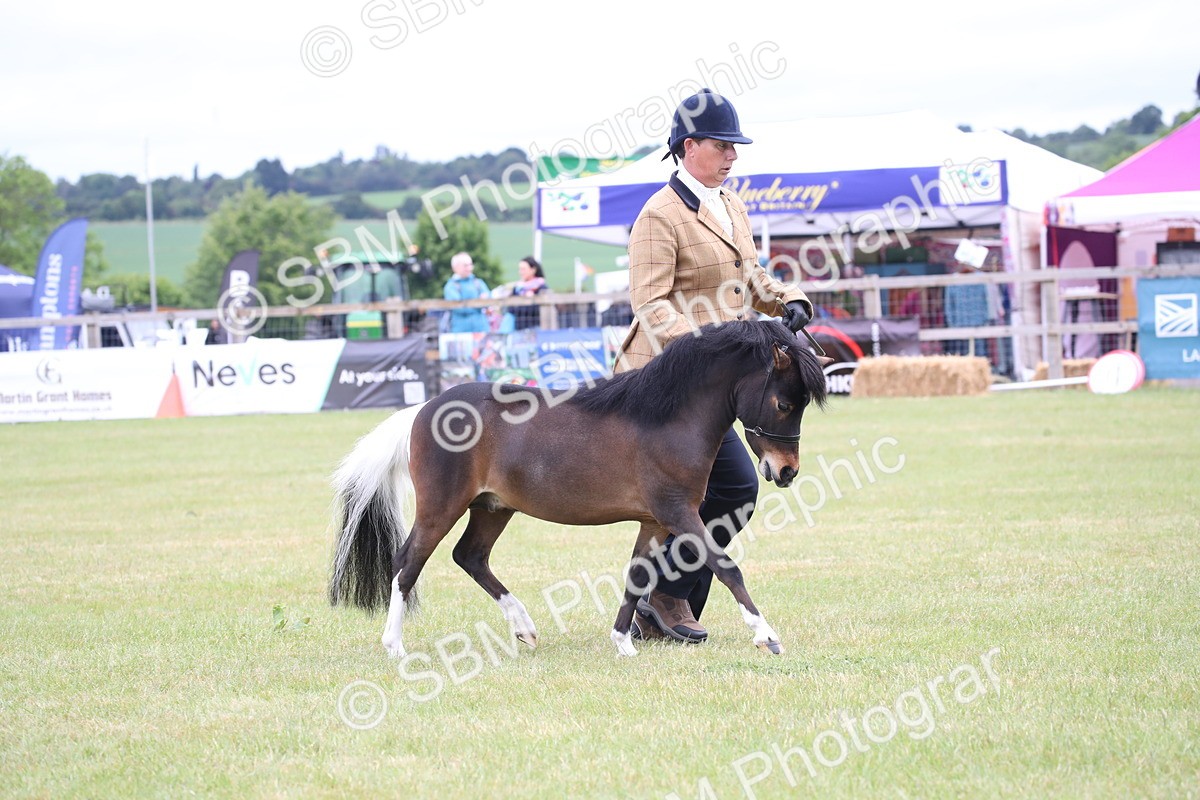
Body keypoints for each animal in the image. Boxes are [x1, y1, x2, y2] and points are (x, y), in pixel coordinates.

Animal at [328, 320, 829, 657]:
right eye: (784, 403)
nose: (786, 471)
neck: (666, 418)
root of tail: (424, 408)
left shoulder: (652, 521)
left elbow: (637, 576)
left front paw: (623, 642)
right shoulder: (679, 513)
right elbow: (728, 568)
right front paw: (767, 636)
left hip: (492, 507)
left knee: (469, 556)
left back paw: (525, 627)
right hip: (441, 506)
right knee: (408, 562)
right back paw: (394, 645)